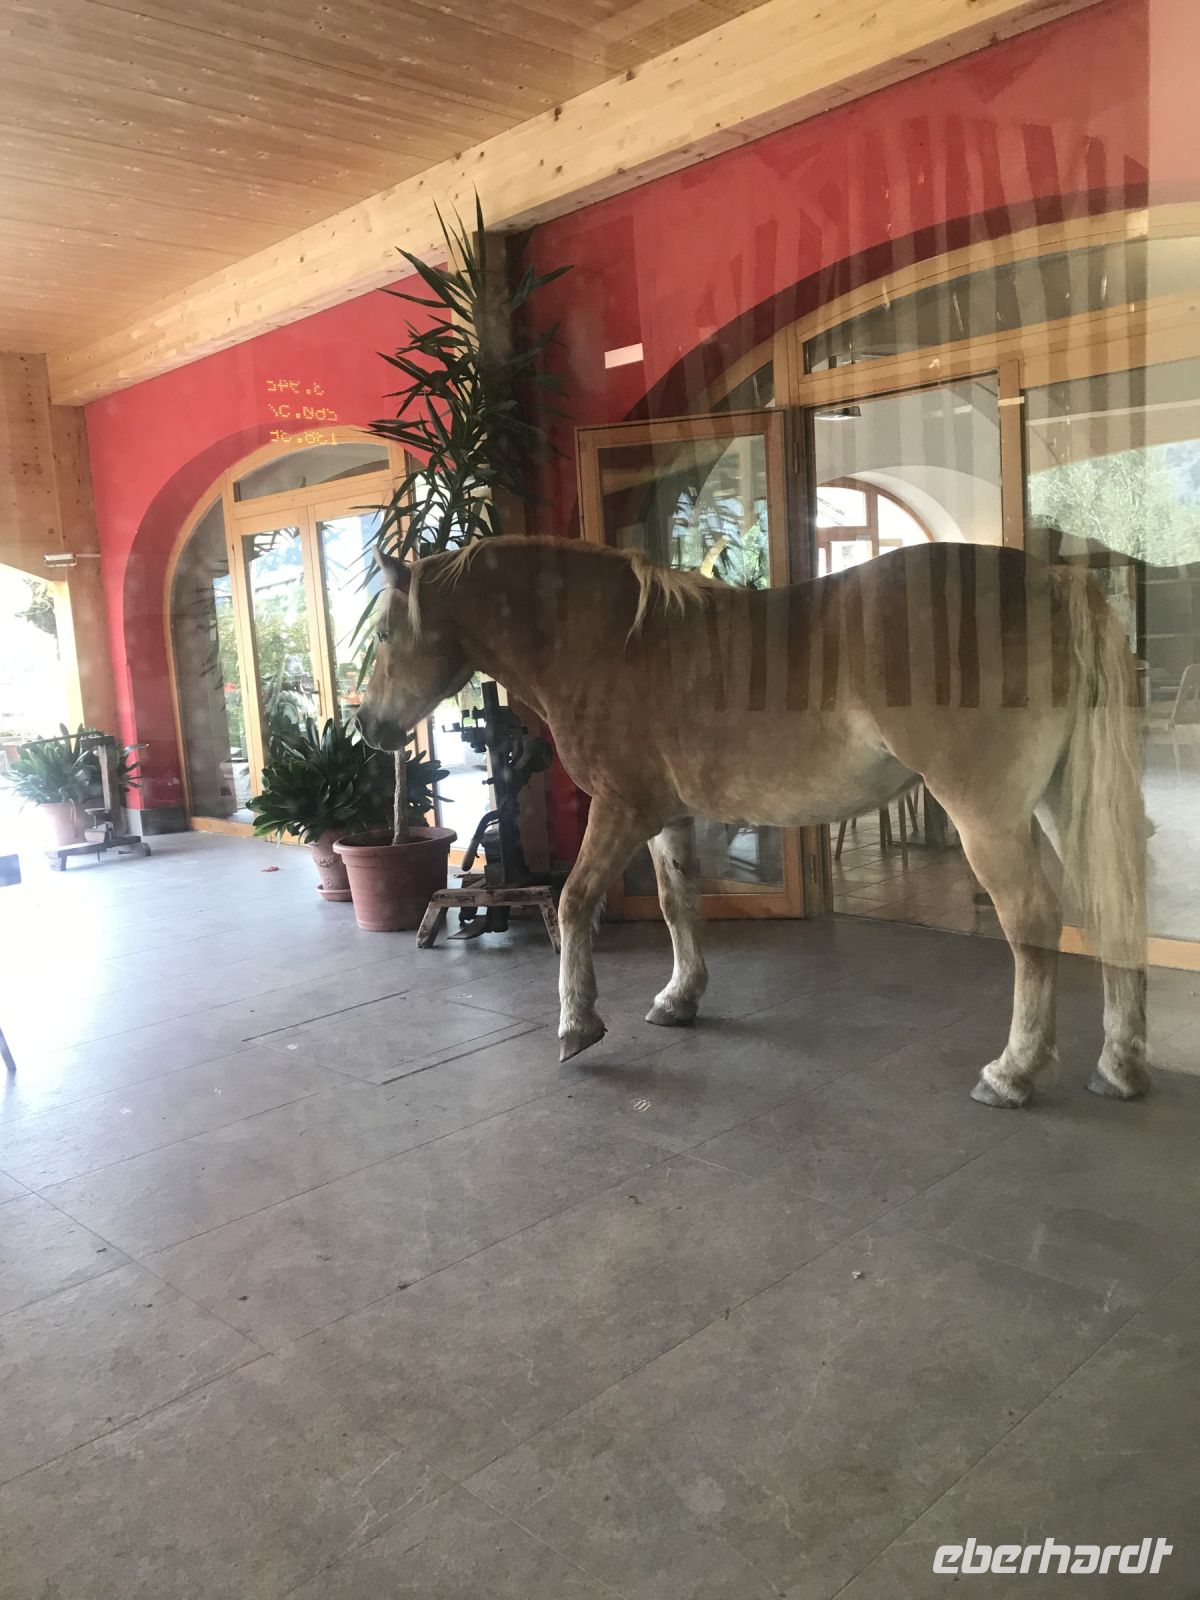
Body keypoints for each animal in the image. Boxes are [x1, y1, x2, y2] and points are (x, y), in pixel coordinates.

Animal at [357, 535, 1148, 1109]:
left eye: (389, 631)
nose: (369, 728)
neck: (609, 642)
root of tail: (1052, 581)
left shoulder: (620, 807)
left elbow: (577, 901)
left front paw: (577, 1025)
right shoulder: (667, 816)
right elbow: (677, 903)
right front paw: (679, 998)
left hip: (987, 816)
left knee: (1034, 924)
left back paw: (1012, 1072)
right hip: (1056, 802)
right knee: (1109, 908)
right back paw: (1120, 1064)